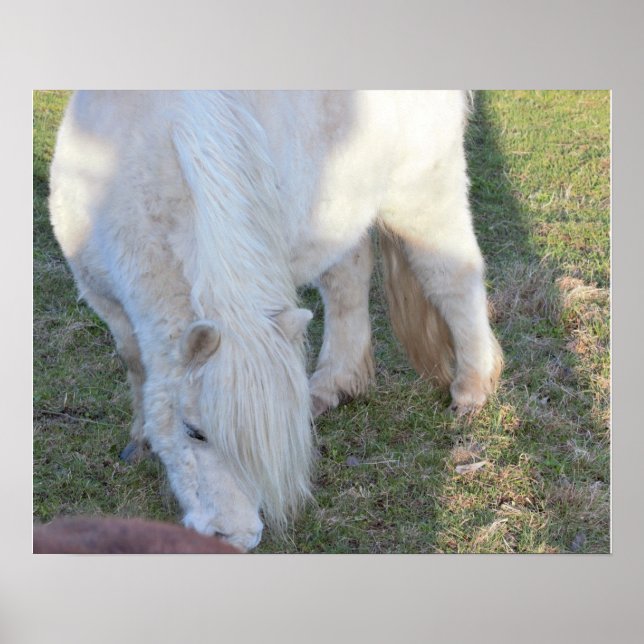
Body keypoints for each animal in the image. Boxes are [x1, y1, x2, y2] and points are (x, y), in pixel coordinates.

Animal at [48, 91, 503, 551]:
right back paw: (332, 386)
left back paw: (471, 390)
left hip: (422, 193)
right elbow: (136, 363)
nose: (235, 537)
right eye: (194, 431)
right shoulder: (106, 299)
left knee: (453, 277)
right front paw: (139, 439)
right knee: (348, 281)